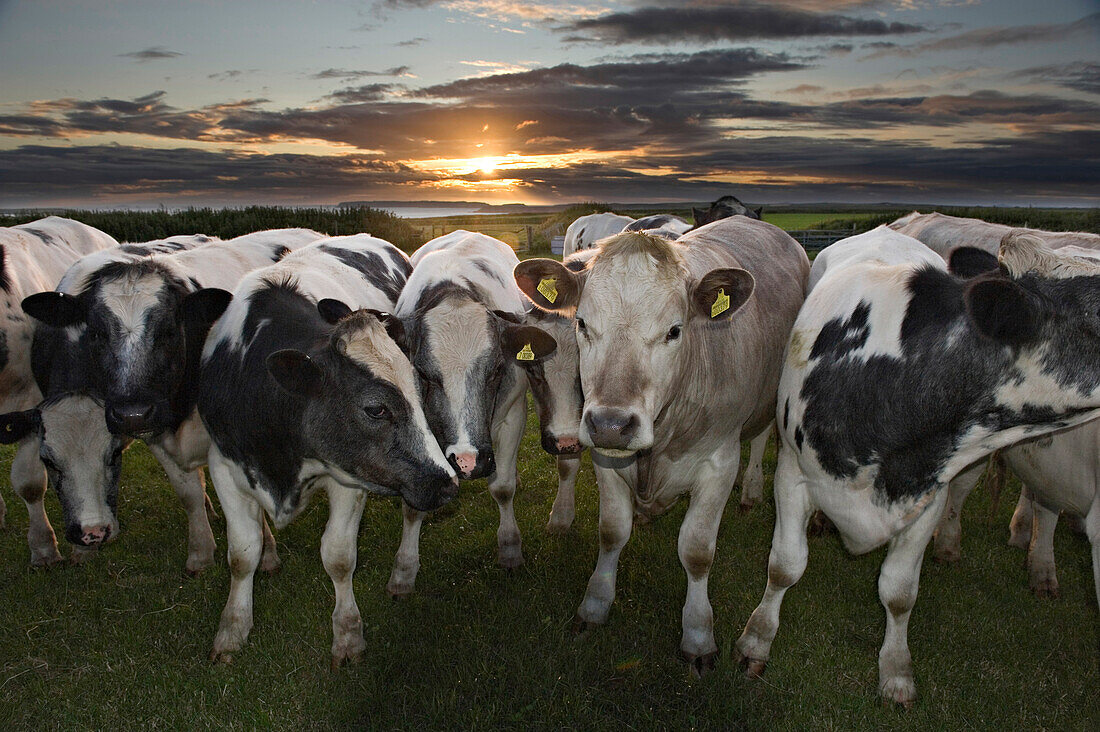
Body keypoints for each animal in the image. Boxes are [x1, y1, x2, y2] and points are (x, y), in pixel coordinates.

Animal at [198, 235, 455, 669]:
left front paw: (348, 635)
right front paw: (232, 629)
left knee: (411, 513)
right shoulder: (224, 465)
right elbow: (241, 554)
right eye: (375, 409)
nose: (447, 484)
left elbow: (338, 555)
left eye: (420, 392)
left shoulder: (351, 476)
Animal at [387, 231, 558, 598]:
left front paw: (510, 548)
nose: (468, 462)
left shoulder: (512, 415)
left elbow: (503, 487)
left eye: (496, 369)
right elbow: (412, 504)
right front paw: (404, 571)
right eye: (424, 375)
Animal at [514, 217, 809, 673]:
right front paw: (595, 604)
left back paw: (752, 490)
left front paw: (698, 634)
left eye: (674, 330)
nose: (611, 424)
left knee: (760, 439)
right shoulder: (605, 458)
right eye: (582, 323)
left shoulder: (719, 463)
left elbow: (697, 551)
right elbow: (612, 532)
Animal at [730, 231, 1100, 704]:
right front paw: (756, 641)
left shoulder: (927, 496)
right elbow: (784, 566)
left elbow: (900, 591)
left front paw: (895, 671)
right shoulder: (792, 477)